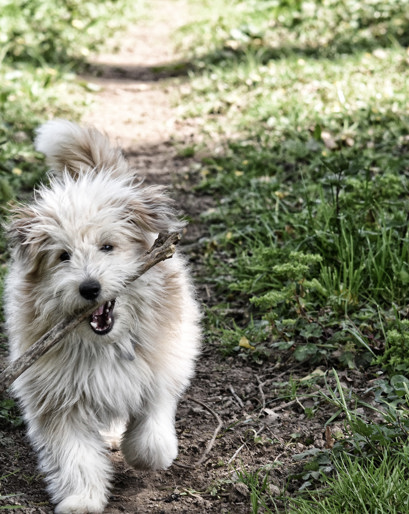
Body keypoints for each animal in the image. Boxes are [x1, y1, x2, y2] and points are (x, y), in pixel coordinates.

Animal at [3, 121, 201, 512]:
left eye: (107, 247)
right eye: (63, 256)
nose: (90, 288)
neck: (104, 342)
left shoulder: (162, 363)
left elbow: (152, 428)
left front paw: (145, 454)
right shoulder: (56, 397)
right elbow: (75, 456)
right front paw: (81, 498)